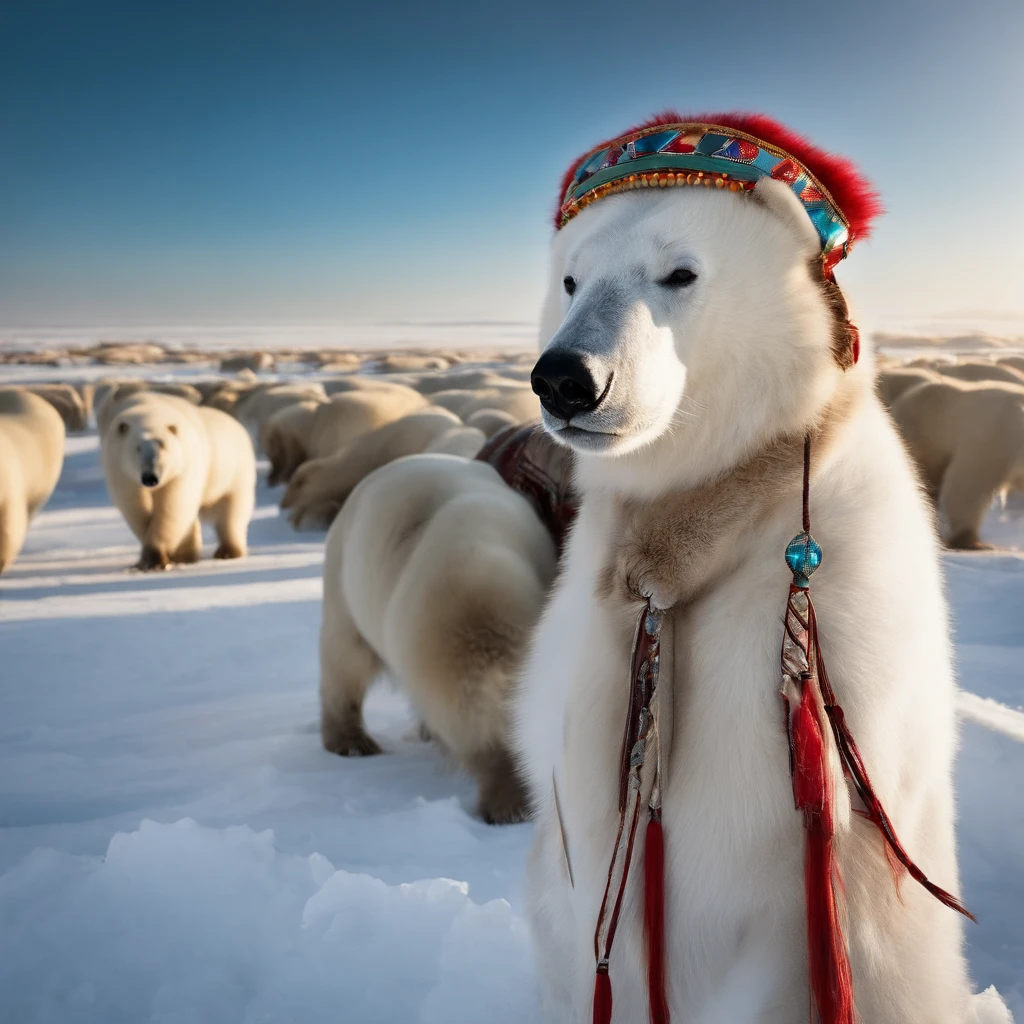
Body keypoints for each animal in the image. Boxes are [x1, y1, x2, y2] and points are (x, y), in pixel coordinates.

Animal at [101, 389, 258, 569]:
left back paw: (227, 552)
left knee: (231, 511)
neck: (149, 409)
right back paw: (187, 555)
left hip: (235, 473)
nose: (150, 478)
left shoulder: (183, 466)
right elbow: (136, 507)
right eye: (137, 448)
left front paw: (154, 558)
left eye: (162, 445)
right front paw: (154, 559)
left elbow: (172, 506)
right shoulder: (121, 470)